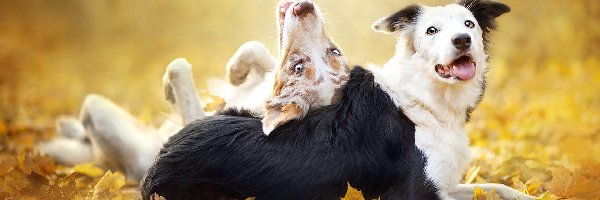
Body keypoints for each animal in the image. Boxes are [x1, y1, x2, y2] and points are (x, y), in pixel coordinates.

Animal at [143, 0, 536, 199]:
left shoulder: (445, 185)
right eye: (431, 31)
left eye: (469, 25)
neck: (427, 100)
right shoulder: (412, 193)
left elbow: (500, 188)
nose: (462, 41)